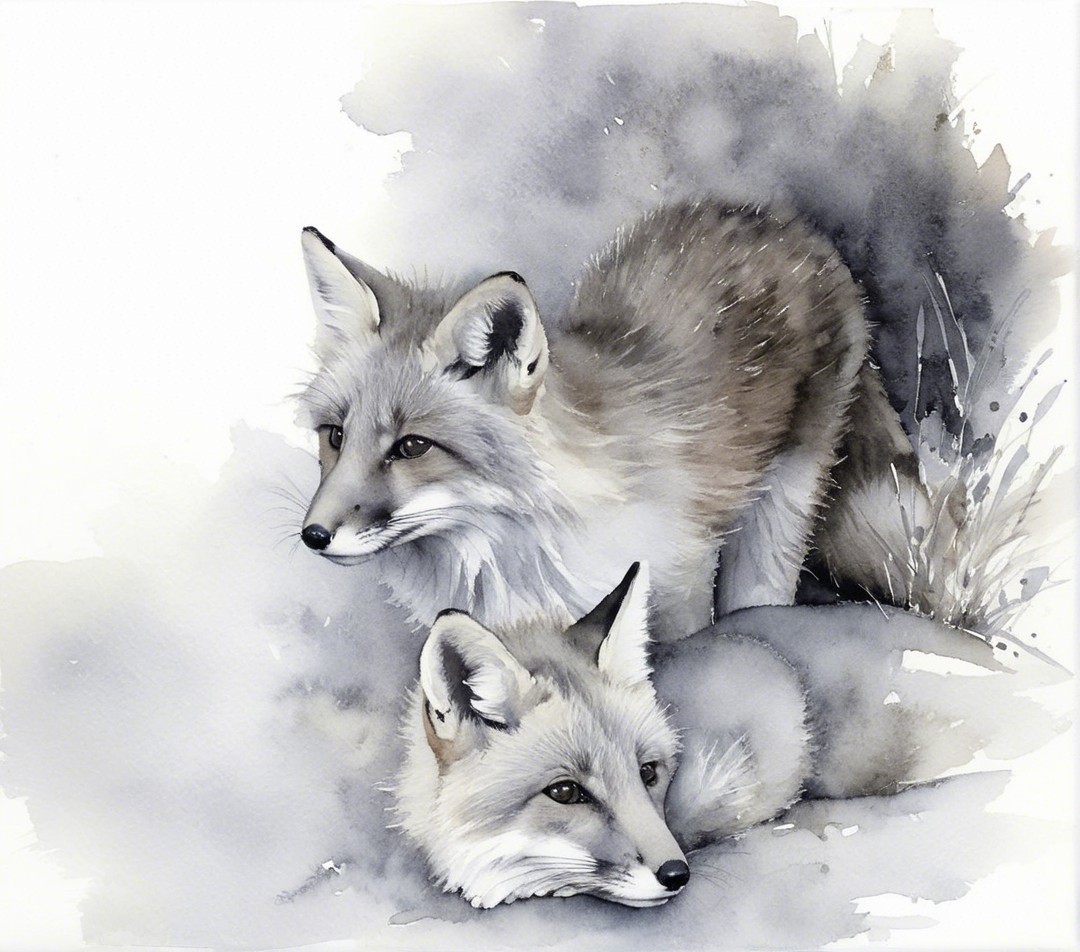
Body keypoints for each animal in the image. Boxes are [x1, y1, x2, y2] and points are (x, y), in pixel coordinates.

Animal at [297, 202, 927, 637]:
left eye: (411, 447)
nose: (313, 536)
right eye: (336, 437)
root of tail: (776, 220)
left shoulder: (678, 587)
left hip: (779, 516)